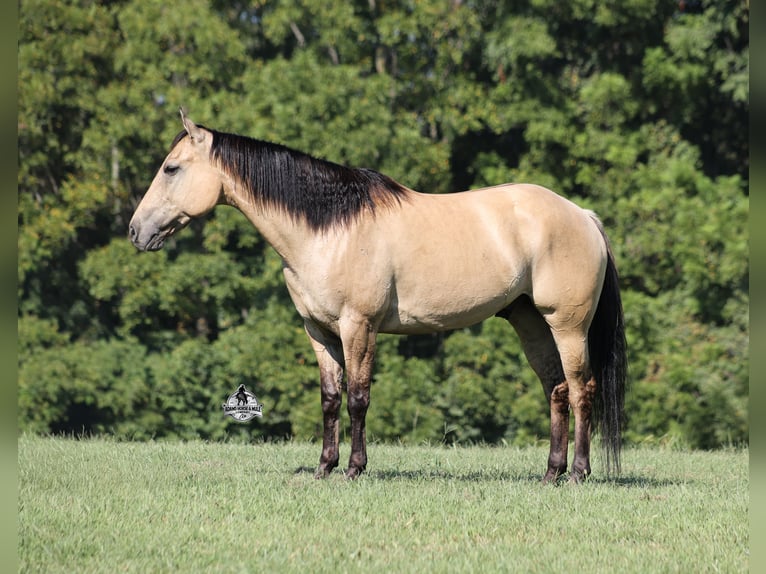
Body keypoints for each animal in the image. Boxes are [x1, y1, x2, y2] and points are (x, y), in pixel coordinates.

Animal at [129, 109, 627, 483]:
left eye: (171, 168)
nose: (136, 231)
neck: (330, 229)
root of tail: (582, 214)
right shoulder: (319, 332)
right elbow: (330, 399)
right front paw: (324, 468)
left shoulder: (358, 327)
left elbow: (357, 397)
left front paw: (354, 468)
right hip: (530, 323)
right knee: (556, 390)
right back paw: (551, 473)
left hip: (567, 325)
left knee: (581, 390)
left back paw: (578, 473)